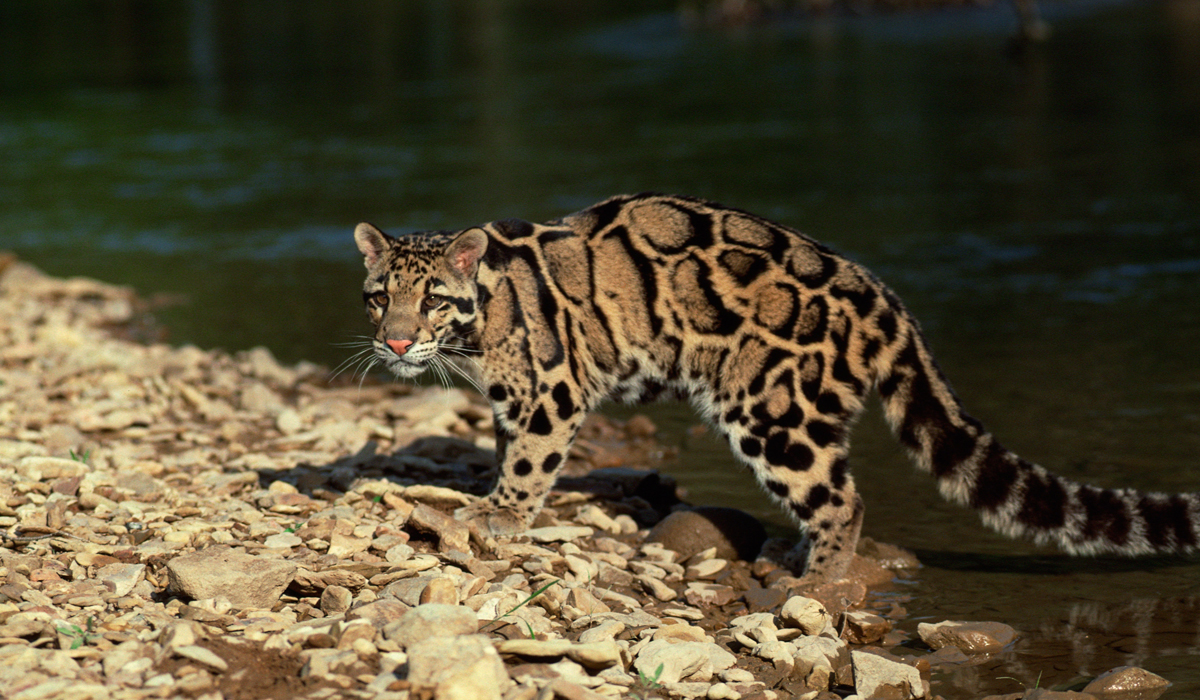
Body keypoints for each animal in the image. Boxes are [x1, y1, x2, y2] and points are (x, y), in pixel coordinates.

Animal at [355, 194, 1200, 583]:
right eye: (379, 297)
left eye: (433, 299)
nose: (394, 341)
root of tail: (888, 301)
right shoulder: (513, 402)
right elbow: (510, 451)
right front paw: (494, 500)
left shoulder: (555, 388)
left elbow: (530, 464)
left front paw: (498, 516)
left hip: (773, 412)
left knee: (844, 499)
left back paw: (815, 582)